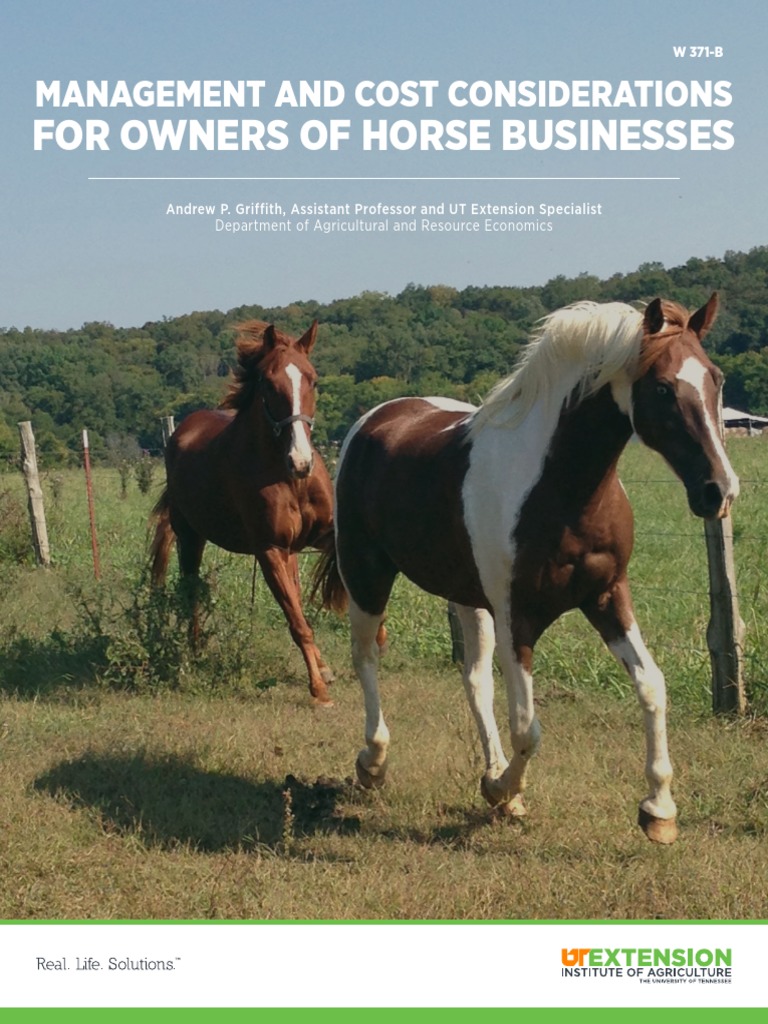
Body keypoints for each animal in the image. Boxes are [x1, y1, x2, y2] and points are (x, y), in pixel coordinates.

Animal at [150, 319, 336, 706]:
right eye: (268, 383)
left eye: (313, 379)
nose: (301, 461)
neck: (286, 477)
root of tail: (180, 433)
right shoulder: (269, 551)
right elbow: (297, 623)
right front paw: (319, 690)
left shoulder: (322, 536)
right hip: (191, 538)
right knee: (190, 590)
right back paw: (194, 653)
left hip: (290, 551)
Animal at [314, 293, 739, 842]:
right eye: (663, 387)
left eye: (716, 378)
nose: (719, 491)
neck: (560, 489)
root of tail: (376, 417)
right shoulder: (518, 615)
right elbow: (527, 726)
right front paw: (503, 791)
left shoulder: (607, 595)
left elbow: (652, 686)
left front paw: (658, 811)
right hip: (367, 575)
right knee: (366, 657)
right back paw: (373, 763)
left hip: (467, 597)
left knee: (474, 677)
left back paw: (487, 769)